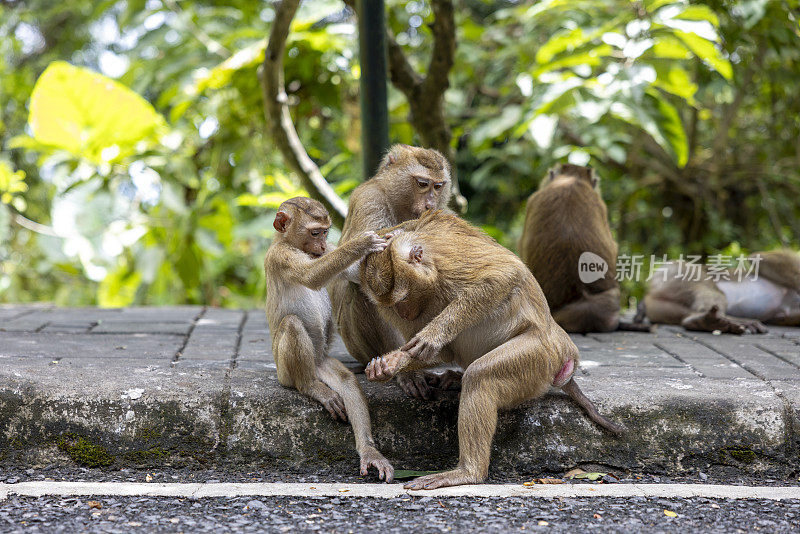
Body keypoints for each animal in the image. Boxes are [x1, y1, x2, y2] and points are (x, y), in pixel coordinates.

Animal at [266, 197, 394, 482]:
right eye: (315, 233)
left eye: (325, 232)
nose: (323, 246)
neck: (289, 244)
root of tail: (314, 365)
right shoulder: (280, 256)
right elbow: (311, 276)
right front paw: (363, 243)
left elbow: (356, 273)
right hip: (285, 370)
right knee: (292, 324)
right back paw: (310, 387)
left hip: (322, 361)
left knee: (347, 382)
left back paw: (368, 451)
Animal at [360, 208, 620, 490]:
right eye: (390, 306)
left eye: (404, 298)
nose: (403, 314)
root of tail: (564, 354)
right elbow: (440, 352)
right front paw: (389, 366)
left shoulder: (451, 260)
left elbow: (504, 274)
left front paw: (431, 337)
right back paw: (453, 379)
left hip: (539, 357)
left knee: (481, 376)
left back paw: (468, 472)